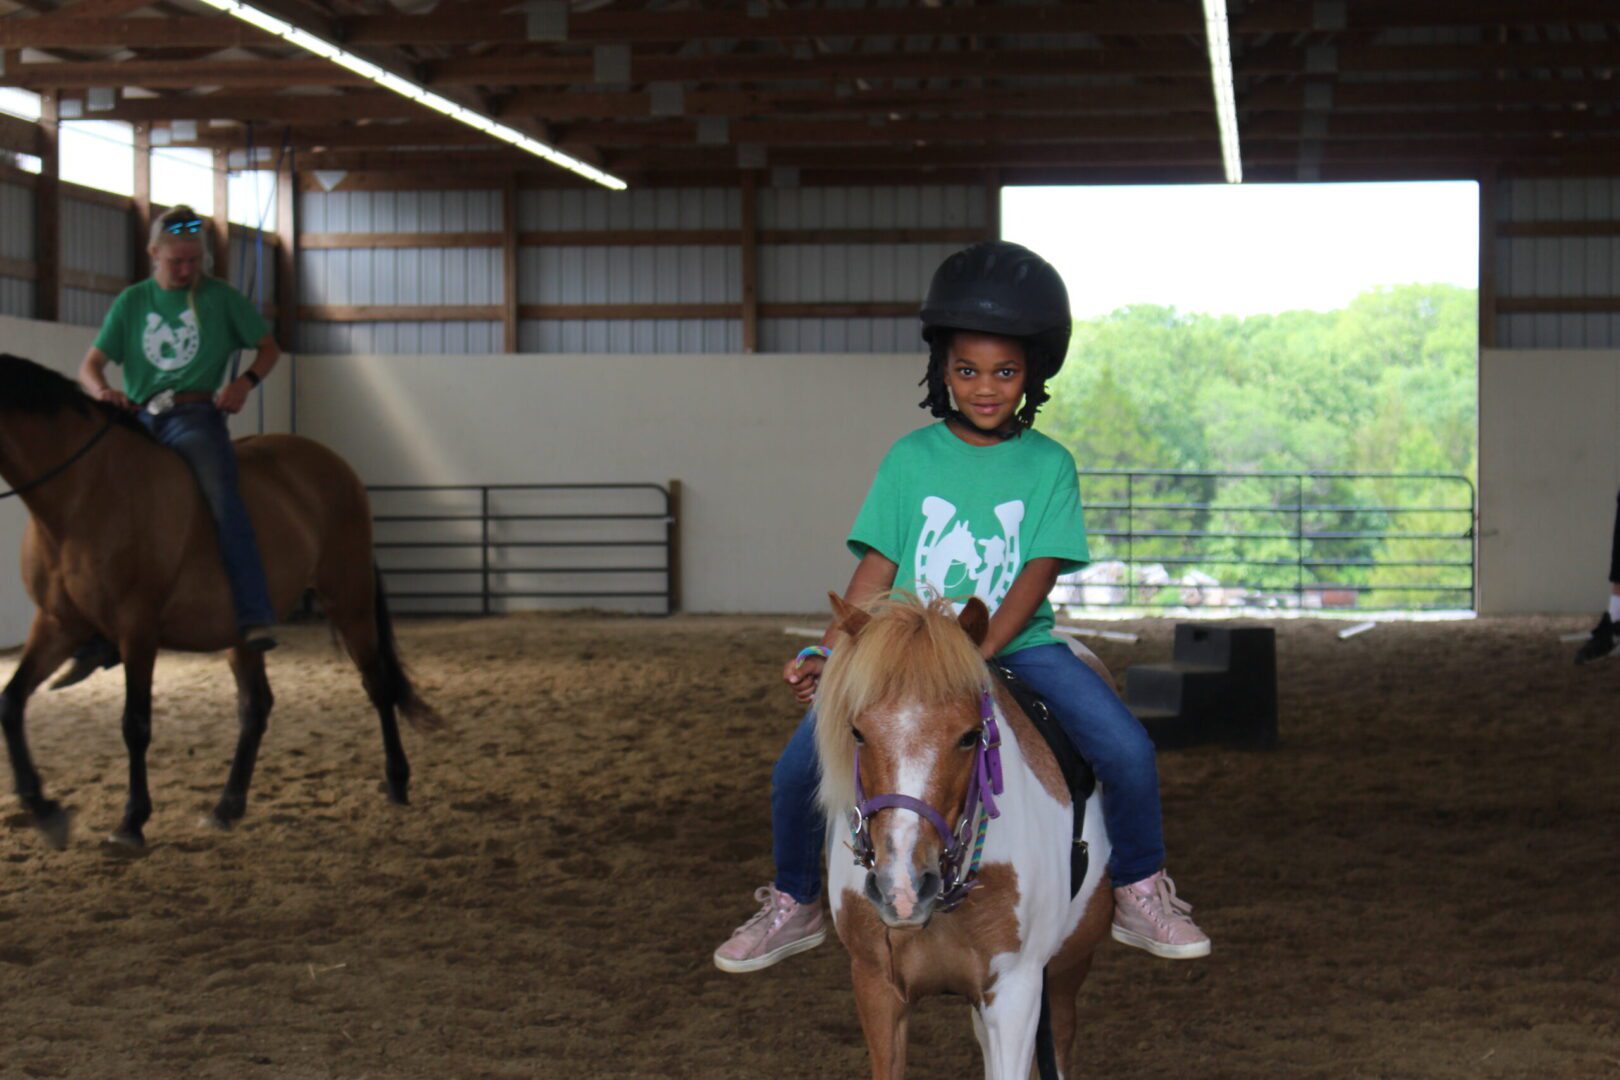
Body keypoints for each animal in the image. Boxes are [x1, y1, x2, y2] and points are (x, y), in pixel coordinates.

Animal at [0, 354, 440, 854]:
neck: (83, 494)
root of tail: (336, 467)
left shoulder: (138, 628)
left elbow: (135, 724)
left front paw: (131, 821)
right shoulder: (57, 623)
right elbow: (11, 702)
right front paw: (45, 811)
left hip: (348, 597)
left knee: (378, 685)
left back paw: (397, 780)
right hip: (243, 630)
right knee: (256, 707)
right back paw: (226, 806)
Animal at [816, 595, 1121, 1075]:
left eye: (970, 736)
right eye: (857, 732)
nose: (903, 888)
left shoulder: (1016, 992)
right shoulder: (876, 985)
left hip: (1066, 969)